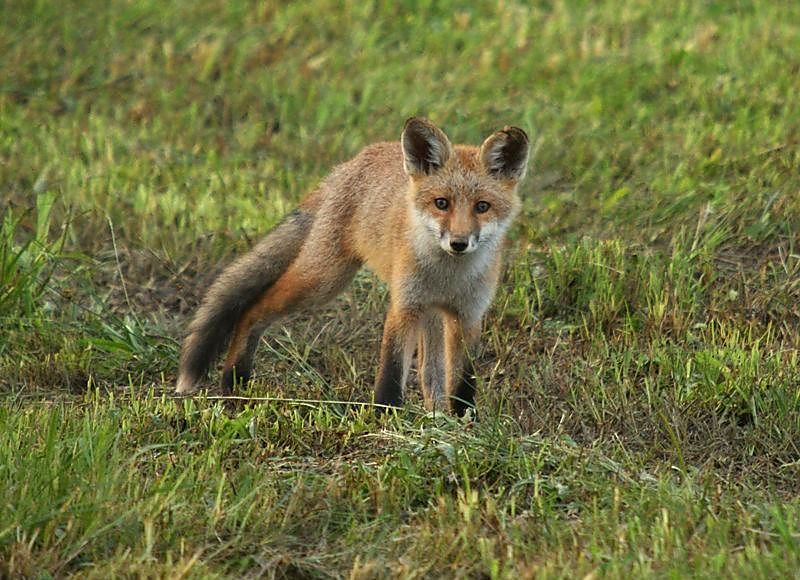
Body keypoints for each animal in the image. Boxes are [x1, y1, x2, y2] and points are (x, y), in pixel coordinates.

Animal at [178, 118, 532, 414]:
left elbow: (461, 384)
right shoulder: (403, 306)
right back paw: (234, 379)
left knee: (430, 374)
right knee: (252, 309)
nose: (458, 243)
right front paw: (385, 420)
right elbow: (390, 374)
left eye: (482, 207)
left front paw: (461, 427)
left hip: (427, 313)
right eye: (441, 203)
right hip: (323, 280)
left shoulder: (467, 315)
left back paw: (436, 416)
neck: (447, 277)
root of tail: (350, 163)